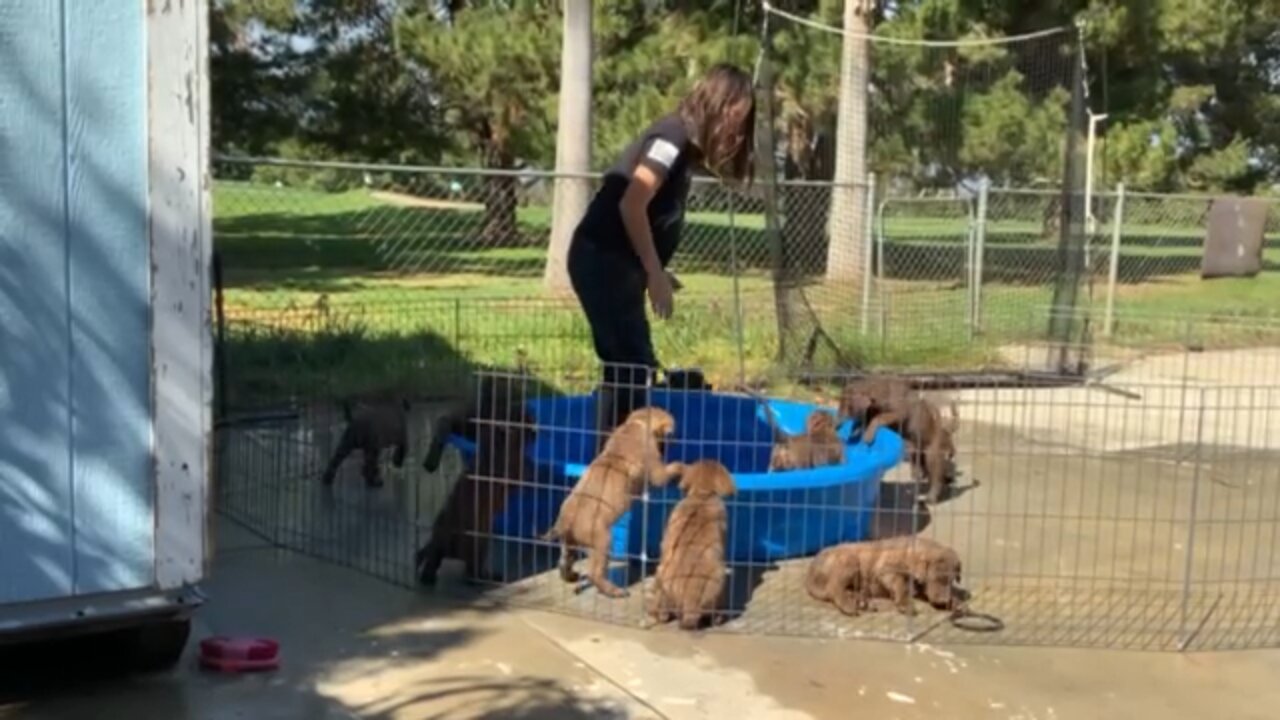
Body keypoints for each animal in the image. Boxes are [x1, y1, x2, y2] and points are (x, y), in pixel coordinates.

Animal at [550, 407, 691, 597]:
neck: (637, 423)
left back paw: (571, 575)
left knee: (565, 559)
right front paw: (684, 468)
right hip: (601, 539)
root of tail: (564, 522)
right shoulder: (655, 466)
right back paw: (615, 591)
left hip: (569, 541)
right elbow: (670, 469)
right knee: (595, 571)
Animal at [808, 535, 962, 614]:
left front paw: (955, 602)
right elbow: (901, 585)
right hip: (849, 560)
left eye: (951, 580)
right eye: (935, 578)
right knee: (834, 587)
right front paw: (905, 604)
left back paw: (862, 601)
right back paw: (849, 605)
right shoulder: (887, 569)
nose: (943, 600)